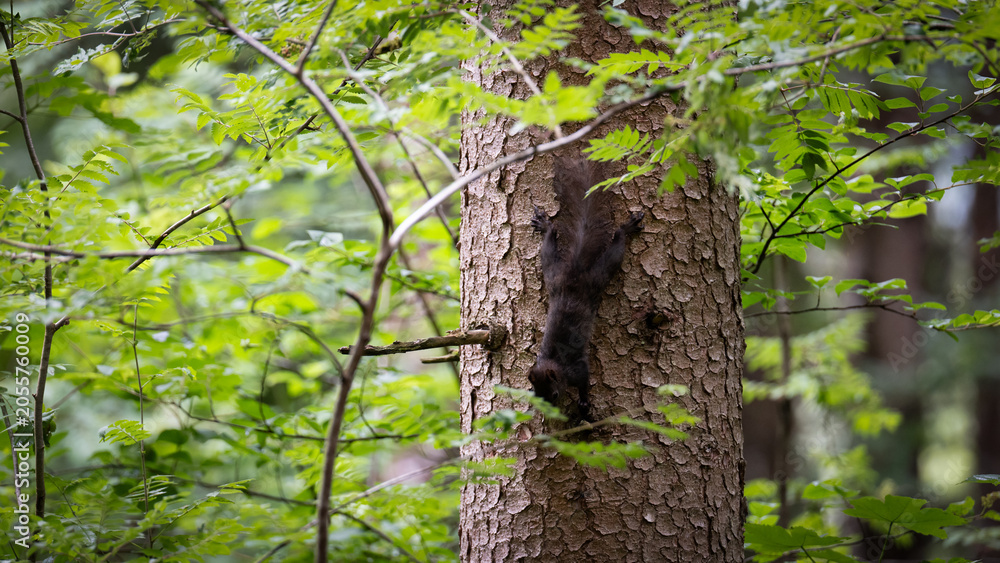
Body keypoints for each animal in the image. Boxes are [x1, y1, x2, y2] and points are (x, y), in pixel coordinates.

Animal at [528, 157, 644, 421]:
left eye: (554, 395)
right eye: (536, 397)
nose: (550, 414)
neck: (555, 365)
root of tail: (575, 271)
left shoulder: (576, 369)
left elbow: (584, 381)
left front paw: (583, 402)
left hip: (597, 275)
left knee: (616, 248)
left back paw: (627, 228)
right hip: (553, 273)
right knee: (549, 244)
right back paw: (545, 226)